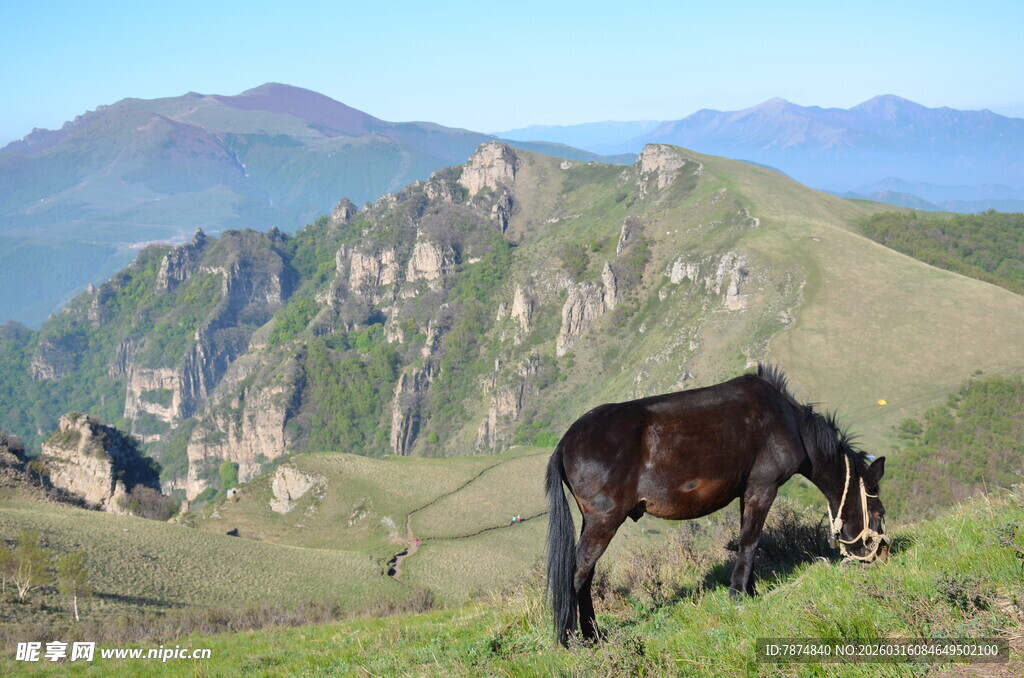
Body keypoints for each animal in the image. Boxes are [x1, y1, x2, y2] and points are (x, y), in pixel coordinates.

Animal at [545, 364, 889, 646]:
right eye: (878, 512)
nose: (882, 554)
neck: (788, 422)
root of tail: (565, 443)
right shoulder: (762, 489)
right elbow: (750, 541)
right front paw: (738, 594)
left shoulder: (747, 493)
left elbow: (749, 541)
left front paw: (750, 591)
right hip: (604, 521)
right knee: (578, 572)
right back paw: (578, 638)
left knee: (585, 573)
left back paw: (591, 634)